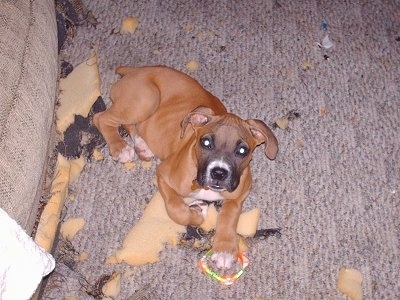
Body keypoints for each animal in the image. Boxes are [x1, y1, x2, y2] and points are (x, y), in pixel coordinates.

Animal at [94, 65, 278, 270]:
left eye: (242, 150)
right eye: (206, 142)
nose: (219, 173)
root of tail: (136, 69)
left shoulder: (239, 194)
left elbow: (229, 216)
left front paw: (224, 249)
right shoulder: (163, 175)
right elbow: (176, 209)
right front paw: (197, 212)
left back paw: (142, 146)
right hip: (146, 99)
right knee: (101, 117)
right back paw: (120, 147)